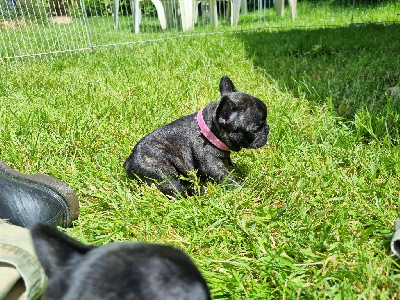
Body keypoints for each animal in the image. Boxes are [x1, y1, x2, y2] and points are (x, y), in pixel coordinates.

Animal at [124, 76, 268, 196]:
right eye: (256, 129)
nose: (267, 129)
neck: (211, 131)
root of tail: (129, 161)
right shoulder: (211, 163)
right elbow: (225, 176)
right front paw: (241, 188)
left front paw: (234, 166)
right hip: (161, 171)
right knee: (176, 189)